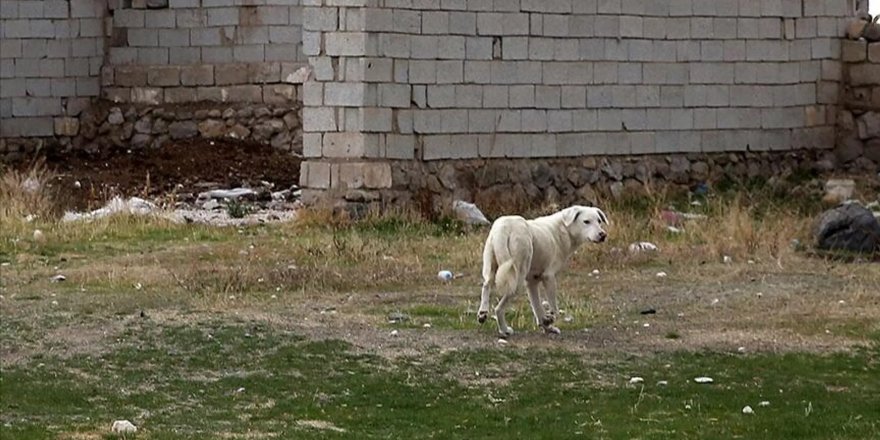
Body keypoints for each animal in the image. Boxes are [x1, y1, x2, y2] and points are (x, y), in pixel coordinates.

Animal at [478, 205, 608, 336]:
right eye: (586, 221)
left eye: (599, 221)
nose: (603, 235)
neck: (564, 230)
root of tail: (505, 226)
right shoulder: (548, 277)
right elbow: (554, 309)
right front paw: (549, 320)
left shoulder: (532, 282)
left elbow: (537, 308)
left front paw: (547, 327)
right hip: (517, 278)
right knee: (498, 308)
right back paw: (504, 329)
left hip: (491, 268)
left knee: (486, 285)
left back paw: (483, 313)